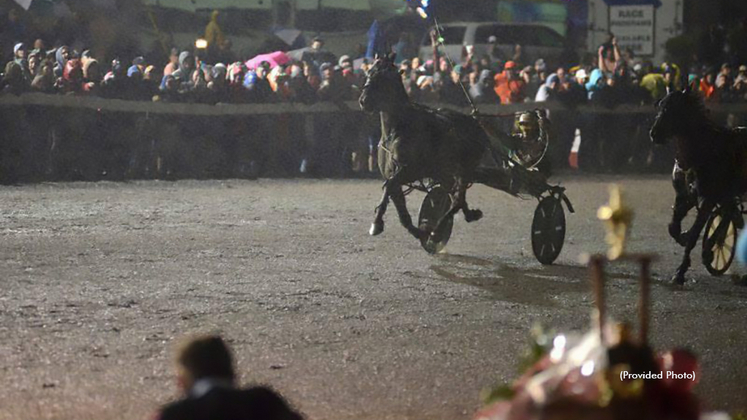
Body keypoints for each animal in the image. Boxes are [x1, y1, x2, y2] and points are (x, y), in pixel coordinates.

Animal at [360, 54, 494, 243]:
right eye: (370, 72)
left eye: (385, 76)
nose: (364, 101)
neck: (397, 129)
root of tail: (475, 123)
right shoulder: (391, 174)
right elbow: (400, 208)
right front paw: (418, 231)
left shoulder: (410, 170)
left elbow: (389, 186)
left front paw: (377, 223)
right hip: (446, 172)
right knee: (456, 197)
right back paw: (468, 215)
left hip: (465, 169)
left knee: (457, 200)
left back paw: (438, 230)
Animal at [648, 88, 747, 286]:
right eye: (660, 105)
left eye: (674, 109)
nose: (654, 133)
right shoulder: (685, 196)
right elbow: (673, 228)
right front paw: (684, 237)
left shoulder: (708, 199)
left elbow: (695, 233)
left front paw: (680, 272)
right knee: (729, 211)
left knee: (728, 212)